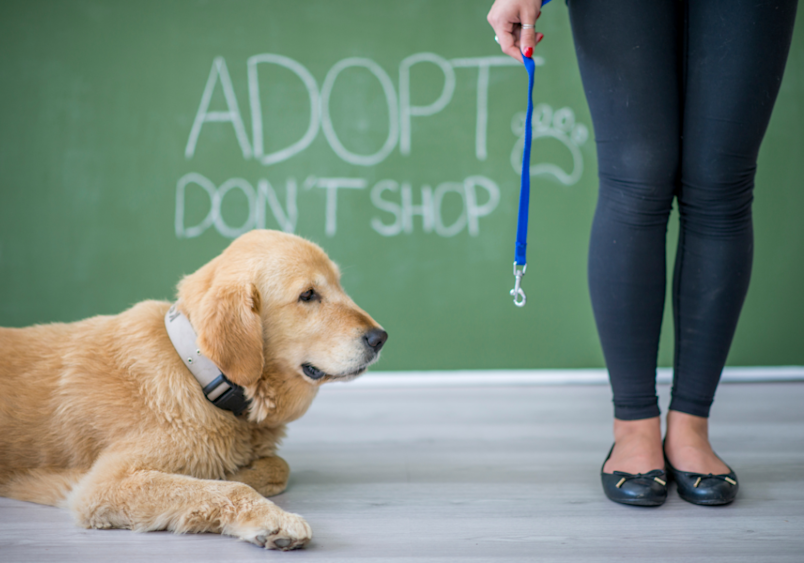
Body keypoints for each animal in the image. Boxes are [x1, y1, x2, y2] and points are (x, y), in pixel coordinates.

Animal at [0, 230, 386, 552]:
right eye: (308, 295)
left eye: (339, 285)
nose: (380, 337)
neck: (201, 373)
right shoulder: (105, 485)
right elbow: (229, 488)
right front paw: (271, 518)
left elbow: (278, 466)